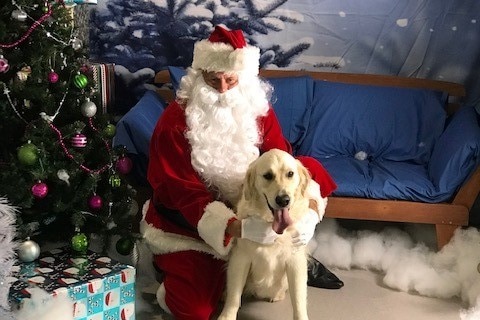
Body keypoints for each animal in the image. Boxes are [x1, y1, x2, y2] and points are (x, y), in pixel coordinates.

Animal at [218, 149, 312, 318]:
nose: (283, 200)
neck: (272, 229)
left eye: (290, 174)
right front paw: (226, 316)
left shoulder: (296, 262)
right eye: (268, 175)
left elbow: (299, 301)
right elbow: (234, 297)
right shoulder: (240, 258)